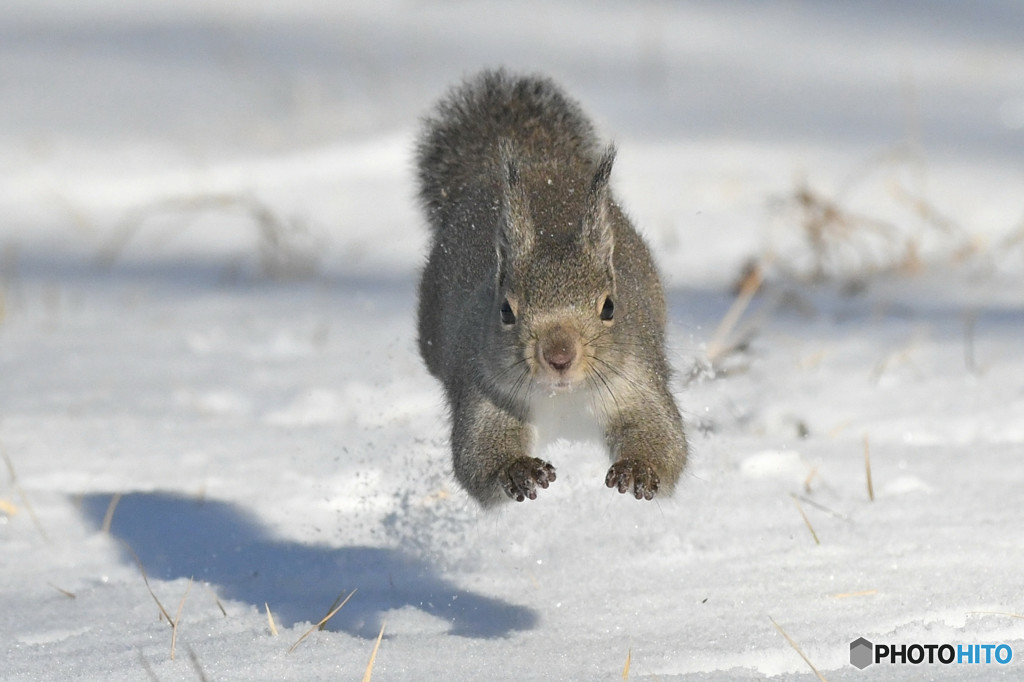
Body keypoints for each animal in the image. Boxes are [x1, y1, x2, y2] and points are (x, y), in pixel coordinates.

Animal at [413, 69, 688, 503]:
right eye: (505, 311)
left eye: (609, 307)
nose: (559, 356)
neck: (565, 398)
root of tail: (539, 163)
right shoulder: (482, 391)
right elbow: (478, 457)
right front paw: (517, 469)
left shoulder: (639, 382)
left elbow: (664, 438)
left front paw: (638, 468)